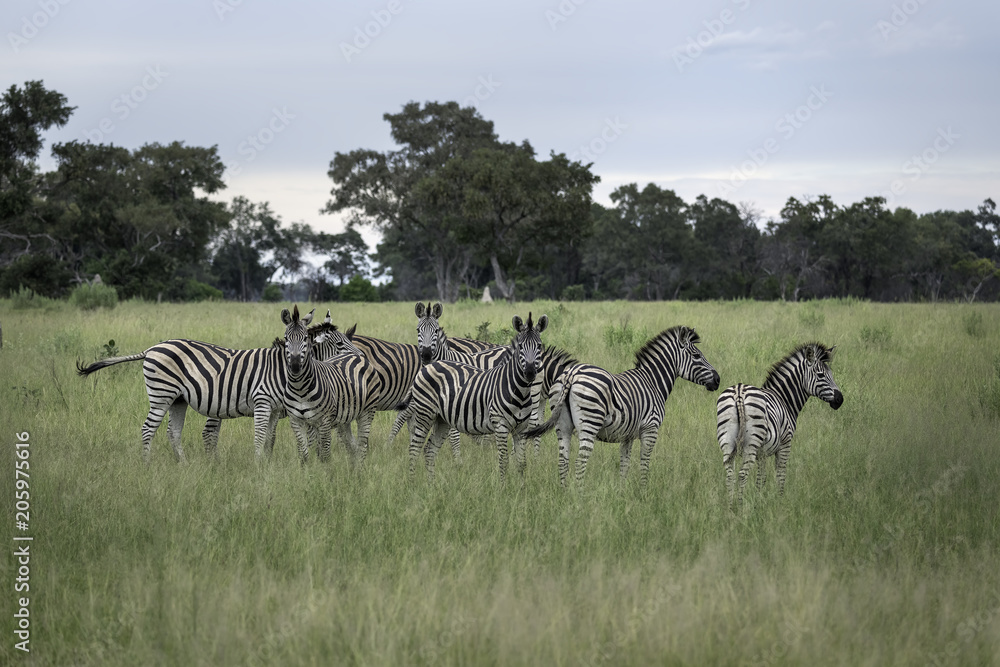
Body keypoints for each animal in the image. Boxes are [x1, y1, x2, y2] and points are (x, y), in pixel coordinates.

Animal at [75, 311, 360, 462]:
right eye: (340, 345)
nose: (361, 358)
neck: (282, 370)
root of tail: (151, 348)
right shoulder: (265, 402)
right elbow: (263, 436)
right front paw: (260, 465)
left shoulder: (278, 409)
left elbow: (270, 438)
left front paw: (267, 462)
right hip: (161, 394)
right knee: (148, 429)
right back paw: (146, 464)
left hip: (178, 399)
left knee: (172, 432)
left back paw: (184, 466)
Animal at [280, 305, 379, 465]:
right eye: (286, 338)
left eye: (305, 338)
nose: (295, 366)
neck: (300, 387)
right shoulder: (296, 421)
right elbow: (305, 454)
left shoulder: (324, 422)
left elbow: (324, 455)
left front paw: (324, 471)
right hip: (345, 417)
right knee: (352, 445)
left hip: (367, 411)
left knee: (362, 445)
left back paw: (359, 468)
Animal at [404, 313, 548, 482]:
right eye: (521, 346)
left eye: (539, 346)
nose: (530, 372)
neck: (519, 391)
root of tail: (428, 366)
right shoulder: (500, 426)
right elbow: (503, 460)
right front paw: (503, 486)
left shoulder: (520, 429)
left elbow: (521, 463)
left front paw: (521, 485)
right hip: (425, 414)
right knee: (414, 448)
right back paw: (412, 482)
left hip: (441, 419)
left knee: (429, 450)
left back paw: (431, 484)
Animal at [524, 326, 720, 486]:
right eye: (697, 356)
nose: (718, 380)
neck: (653, 382)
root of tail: (571, 374)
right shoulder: (650, 429)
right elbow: (644, 463)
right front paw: (643, 493)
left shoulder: (627, 435)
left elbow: (624, 465)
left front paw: (621, 492)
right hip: (589, 423)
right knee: (580, 462)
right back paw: (579, 497)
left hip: (562, 425)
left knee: (563, 461)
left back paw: (565, 493)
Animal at [716, 342, 843, 507]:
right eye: (821, 375)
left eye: (831, 374)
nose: (840, 399)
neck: (784, 399)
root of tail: (739, 392)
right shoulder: (785, 444)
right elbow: (781, 473)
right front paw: (780, 501)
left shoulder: (762, 453)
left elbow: (761, 479)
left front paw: (759, 501)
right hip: (751, 443)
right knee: (742, 474)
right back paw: (740, 507)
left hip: (727, 440)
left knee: (730, 474)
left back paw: (730, 507)